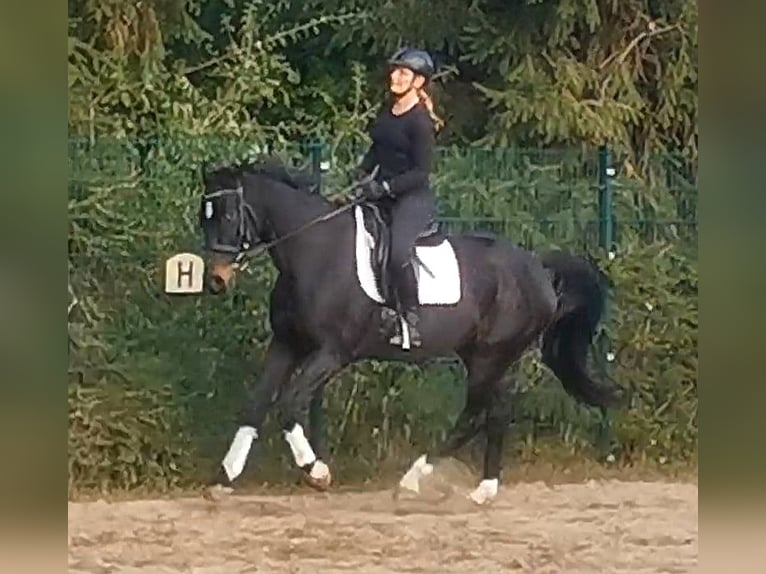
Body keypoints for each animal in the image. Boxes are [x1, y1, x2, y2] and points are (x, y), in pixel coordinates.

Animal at [198, 159, 623, 504]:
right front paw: (224, 477)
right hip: (484, 355)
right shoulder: (287, 344)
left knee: (480, 413)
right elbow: (255, 404)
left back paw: (428, 482)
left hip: (492, 355)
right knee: (490, 411)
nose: (216, 280)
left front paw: (316, 471)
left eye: (229, 217)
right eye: (204, 217)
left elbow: (290, 403)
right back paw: (472, 487)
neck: (313, 252)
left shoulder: (332, 352)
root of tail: (537, 266)